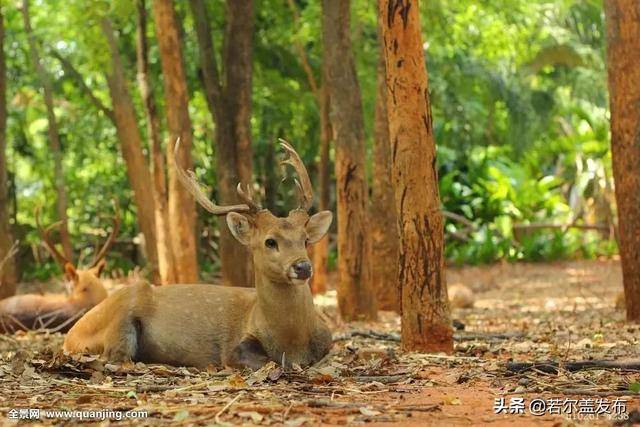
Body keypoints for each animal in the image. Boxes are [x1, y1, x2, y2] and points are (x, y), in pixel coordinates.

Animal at [63, 140, 336, 372]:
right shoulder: (234, 348)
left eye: (305, 239)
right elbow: (266, 361)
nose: (302, 267)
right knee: (115, 356)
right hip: (122, 312)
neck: (291, 341)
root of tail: (70, 336)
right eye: (270, 241)